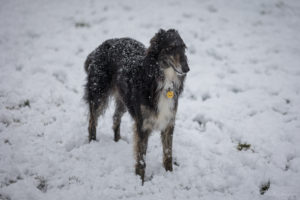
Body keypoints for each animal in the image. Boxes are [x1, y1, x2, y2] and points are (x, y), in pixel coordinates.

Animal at [83, 28, 189, 184]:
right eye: (170, 48)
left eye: (184, 48)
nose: (187, 68)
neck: (163, 82)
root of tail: (98, 48)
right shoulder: (142, 126)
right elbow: (141, 160)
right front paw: (140, 181)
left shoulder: (168, 123)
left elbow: (168, 154)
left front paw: (170, 174)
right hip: (98, 96)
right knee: (92, 122)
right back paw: (92, 143)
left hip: (123, 100)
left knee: (115, 118)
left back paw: (117, 141)